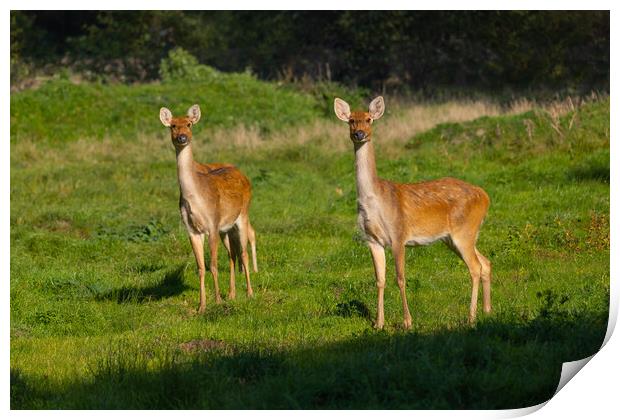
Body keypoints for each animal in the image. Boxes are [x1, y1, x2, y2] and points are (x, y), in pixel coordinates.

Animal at [160, 105, 260, 314]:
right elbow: (201, 268)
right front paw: (202, 306)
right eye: (173, 126)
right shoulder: (192, 230)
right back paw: (232, 294)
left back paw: (249, 293)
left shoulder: (212, 224)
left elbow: (213, 265)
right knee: (232, 254)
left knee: (244, 252)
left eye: (189, 124)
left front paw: (218, 301)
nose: (182, 137)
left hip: (242, 215)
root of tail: (243, 174)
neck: (196, 198)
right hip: (226, 228)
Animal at [334, 97, 490, 330]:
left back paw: (471, 317)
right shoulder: (372, 240)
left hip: (464, 231)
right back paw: (487, 311)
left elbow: (400, 278)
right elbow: (379, 280)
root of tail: (485, 196)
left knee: (475, 267)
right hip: (455, 237)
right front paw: (378, 323)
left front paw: (407, 321)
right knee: (485, 262)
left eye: (369, 119)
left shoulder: (398, 235)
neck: (374, 199)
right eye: (351, 120)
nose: (359, 134)